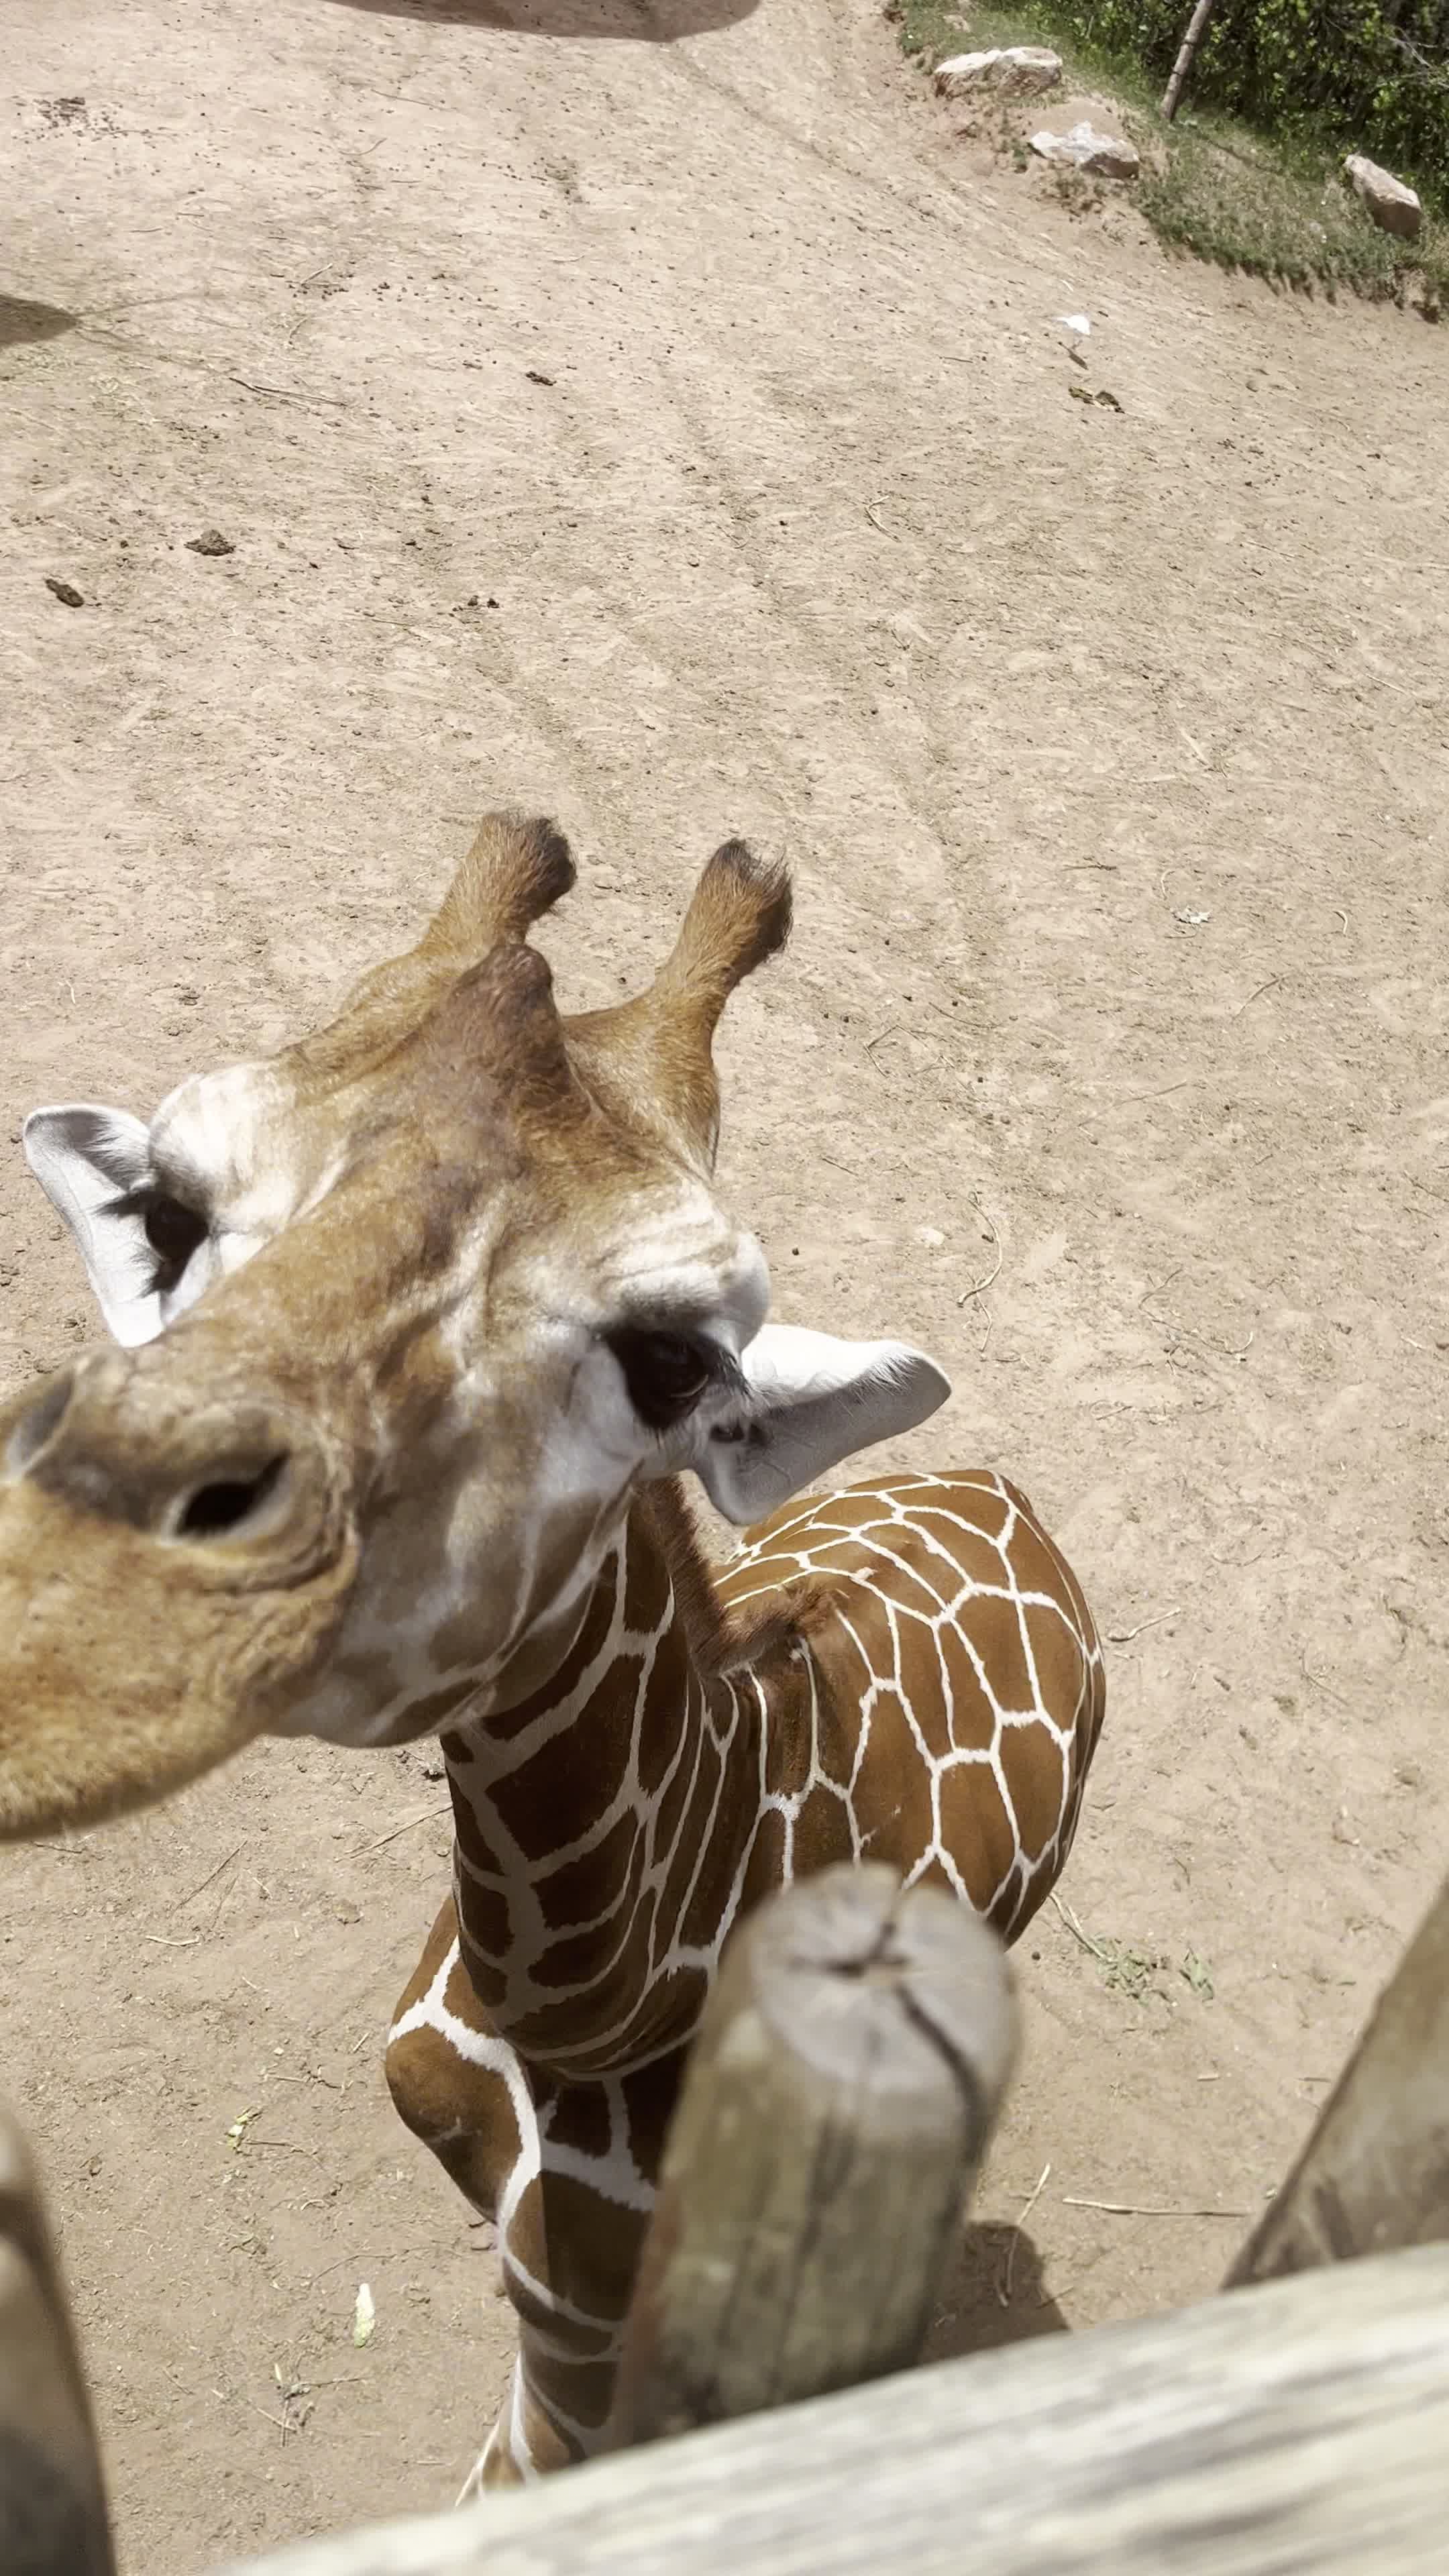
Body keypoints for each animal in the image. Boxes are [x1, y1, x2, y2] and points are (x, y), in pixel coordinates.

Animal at [0, 814, 1104, 2493]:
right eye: (173, 1217)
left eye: (674, 1361)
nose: (58, 1651)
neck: (591, 2012)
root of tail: (1007, 1494)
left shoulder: (587, 2308)